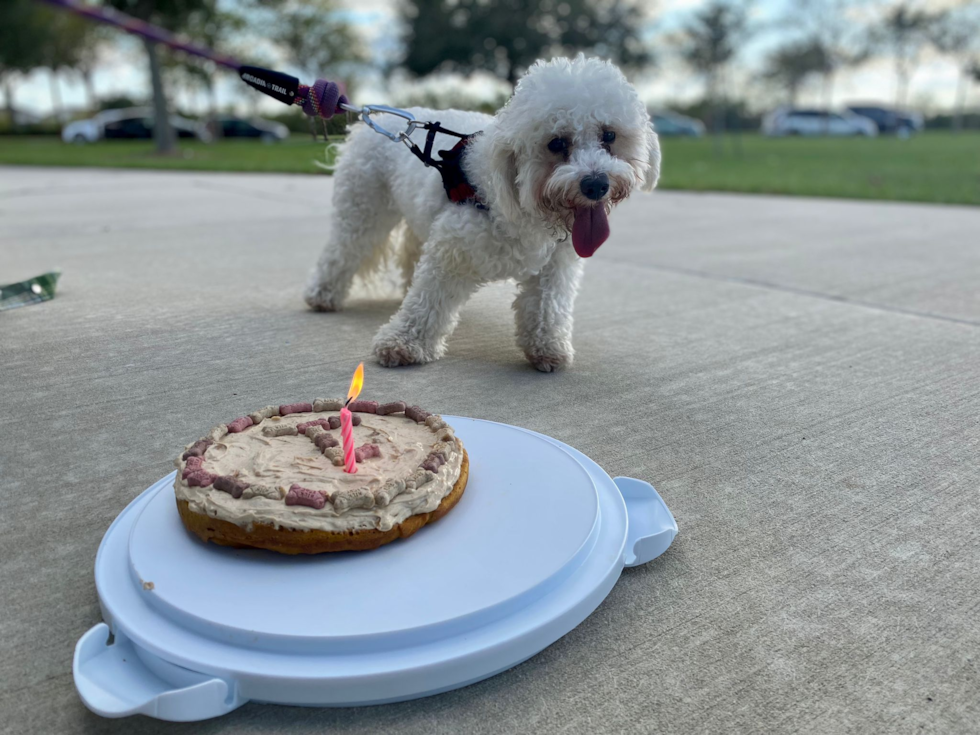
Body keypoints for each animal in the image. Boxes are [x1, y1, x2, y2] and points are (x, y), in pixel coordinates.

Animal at [302, 56, 664, 374]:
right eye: (556, 143)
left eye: (609, 135)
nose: (596, 184)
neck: (522, 207)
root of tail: (376, 119)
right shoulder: (451, 250)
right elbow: (428, 300)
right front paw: (403, 342)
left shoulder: (554, 265)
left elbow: (547, 307)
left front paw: (547, 347)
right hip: (363, 210)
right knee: (343, 250)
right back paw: (322, 295)